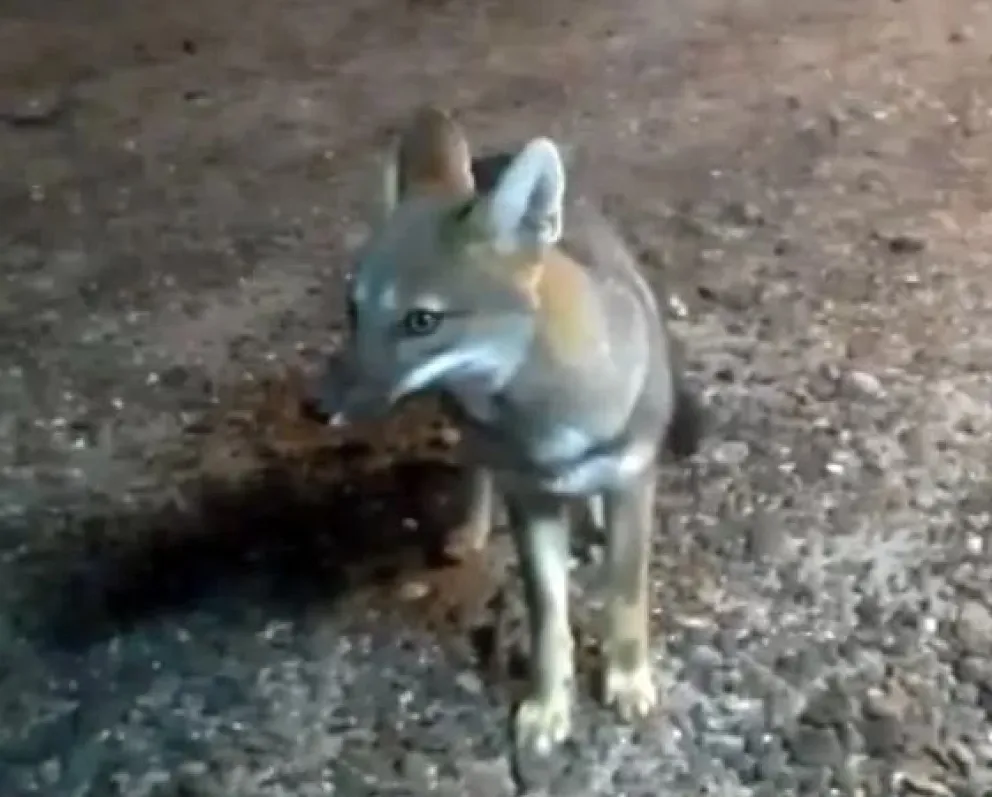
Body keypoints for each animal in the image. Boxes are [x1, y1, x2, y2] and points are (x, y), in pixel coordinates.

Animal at [313, 105, 705, 757]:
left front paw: (626, 680)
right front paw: (549, 707)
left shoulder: (631, 482)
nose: (316, 407)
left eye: (422, 321)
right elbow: (548, 620)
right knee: (476, 470)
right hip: (464, 427)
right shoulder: (530, 497)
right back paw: (472, 528)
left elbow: (626, 598)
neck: (548, 424)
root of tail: (490, 159)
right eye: (353, 310)